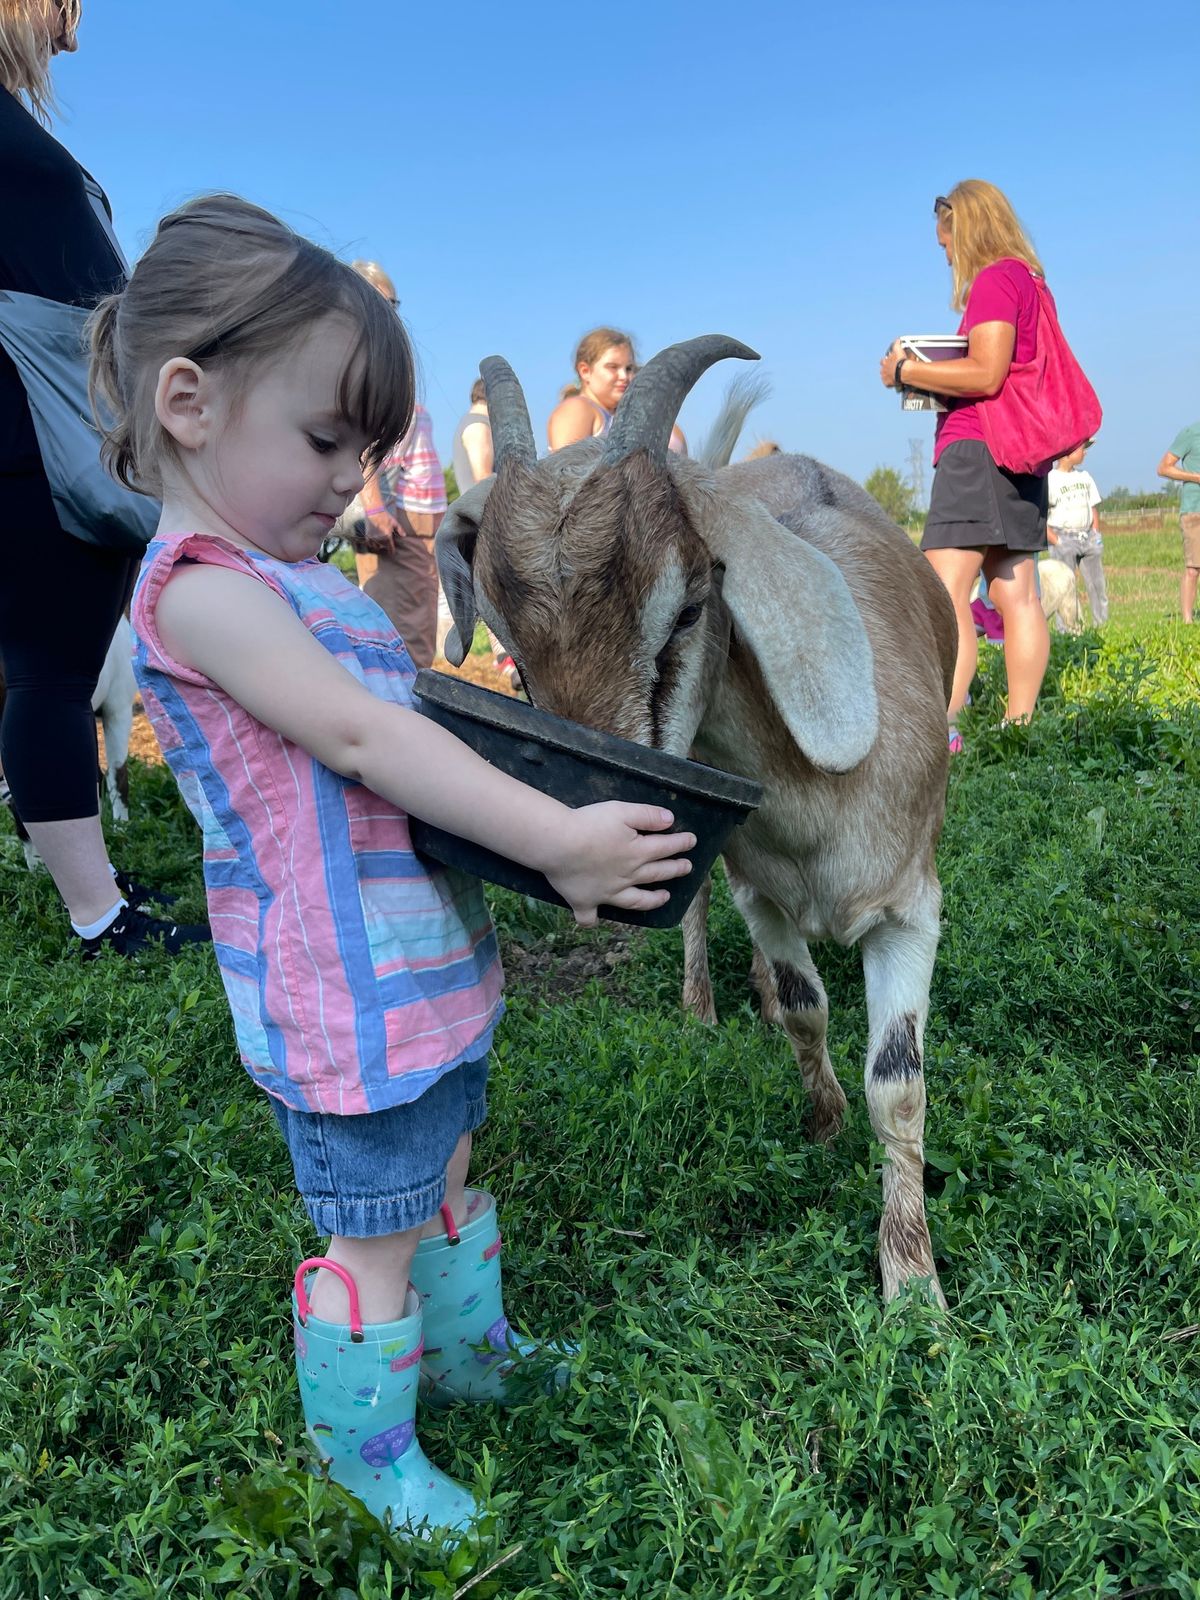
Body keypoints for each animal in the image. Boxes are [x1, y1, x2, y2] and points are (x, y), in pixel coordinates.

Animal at [441, 337, 960, 1299]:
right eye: (510, 651)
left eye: (687, 609)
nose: (584, 833)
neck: (816, 804)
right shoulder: (763, 893)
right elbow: (806, 1008)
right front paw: (824, 1123)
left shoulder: (913, 908)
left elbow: (898, 1082)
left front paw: (913, 1287)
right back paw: (706, 1004)